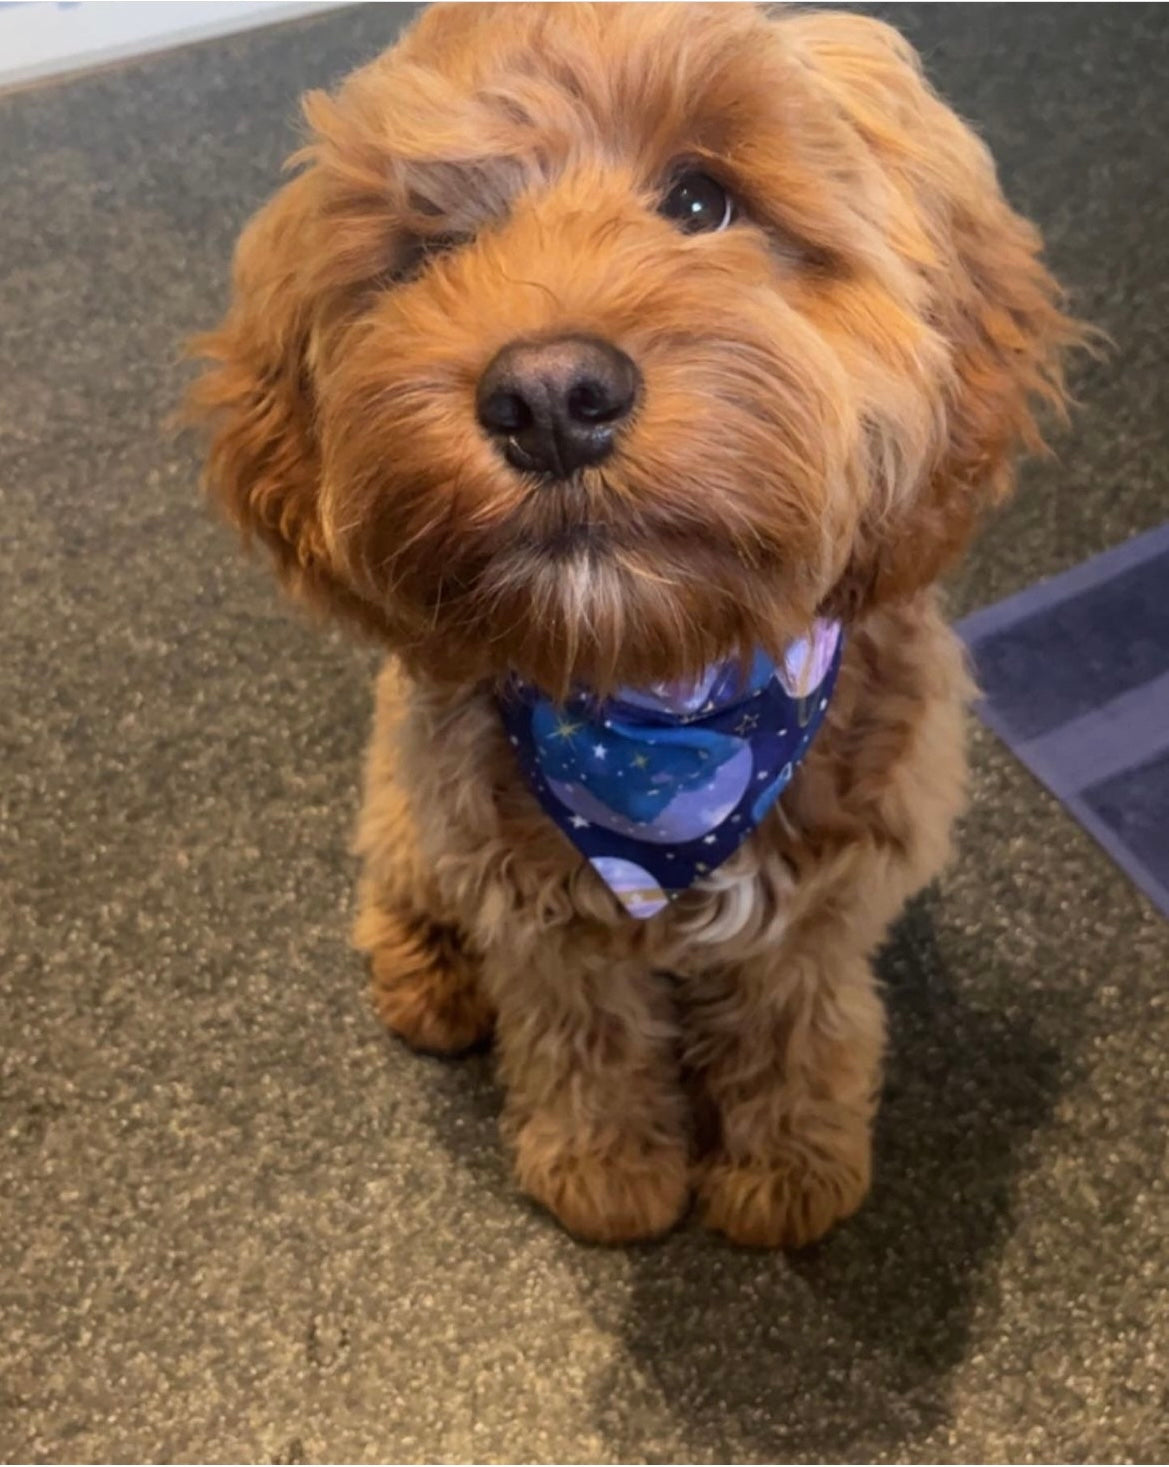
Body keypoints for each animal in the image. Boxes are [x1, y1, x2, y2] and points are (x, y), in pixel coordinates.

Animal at [189, 2, 1073, 1249]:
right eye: (431, 248)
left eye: (700, 201)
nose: (549, 398)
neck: (663, 687)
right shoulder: (534, 913)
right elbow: (584, 1039)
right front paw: (603, 1168)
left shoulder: (825, 901)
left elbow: (797, 1024)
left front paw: (791, 1164)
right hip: (409, 800)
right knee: (396, 874)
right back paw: (427, 976)